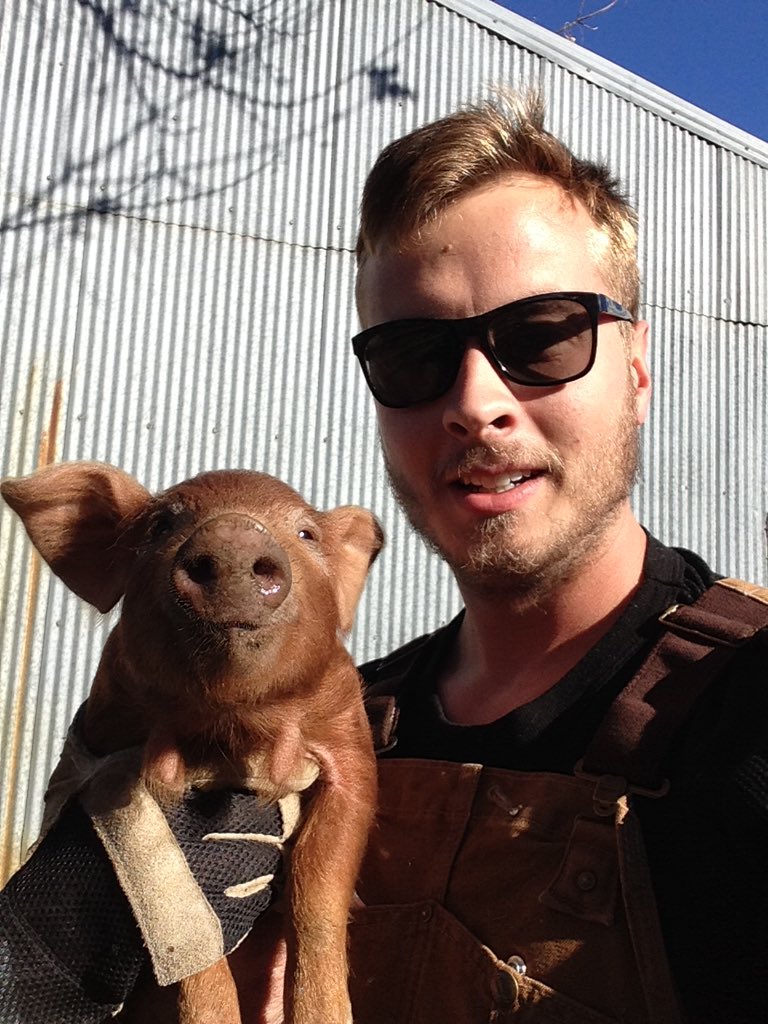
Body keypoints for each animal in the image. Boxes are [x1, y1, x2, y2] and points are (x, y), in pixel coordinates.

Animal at [0, 461, 383, 1024]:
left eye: (306, 534)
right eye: (161, 525)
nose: (235, 534)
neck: (237, 730)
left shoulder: (348, 743)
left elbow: (318, 889)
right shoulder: (113, 752)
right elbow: (185, 925)